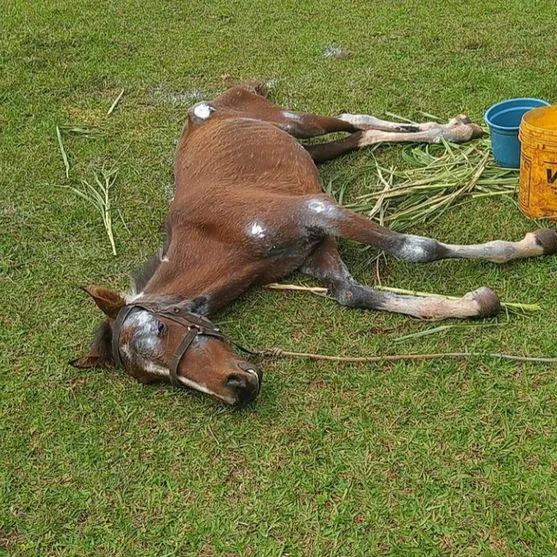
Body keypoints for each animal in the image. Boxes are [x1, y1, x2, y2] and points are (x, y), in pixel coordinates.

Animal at [73, 82, 556, 404]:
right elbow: (353, 295)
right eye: (152, 378)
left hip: (296, 123)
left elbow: (415, 249)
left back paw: (456, 130)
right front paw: (476, 302)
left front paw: (534, 242)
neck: (219, 234)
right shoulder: (316, 251)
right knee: (359, 135)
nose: (237, 388)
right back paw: (449, 131)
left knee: (350, 119)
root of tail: (207, 105)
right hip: (309, 152)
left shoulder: (317, 210)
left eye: (159, 328)